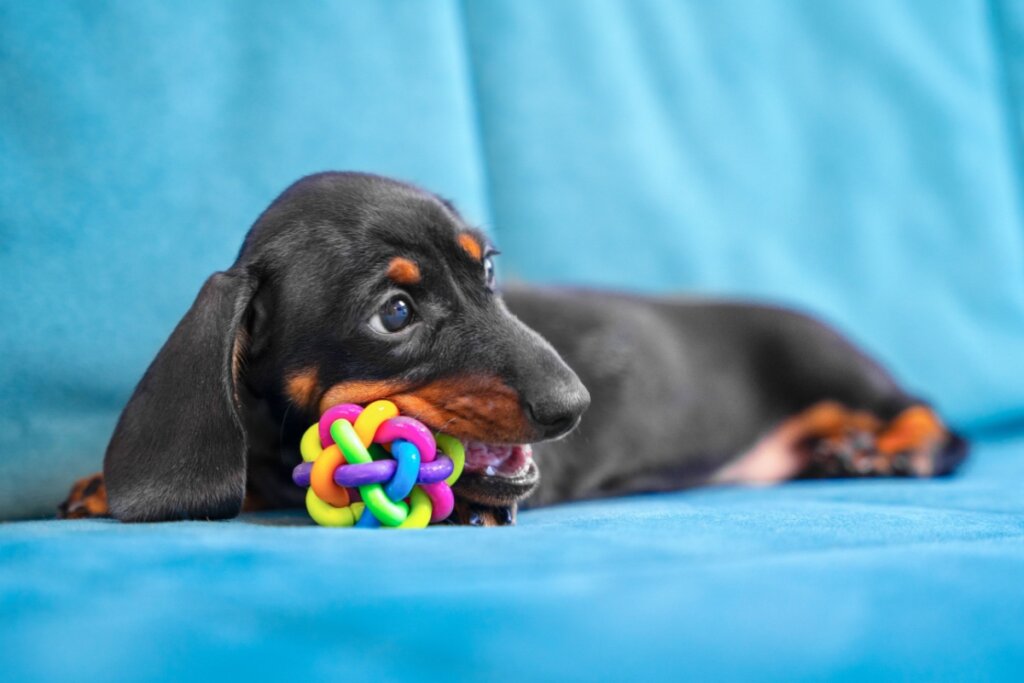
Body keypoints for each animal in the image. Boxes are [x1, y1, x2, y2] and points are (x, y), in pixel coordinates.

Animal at [58, 174, 966, 528]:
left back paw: (892, 449)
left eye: (488, 268)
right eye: (394, 313)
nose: (575, 406)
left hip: (834, 366)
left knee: (936, 419)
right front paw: (103, 487)